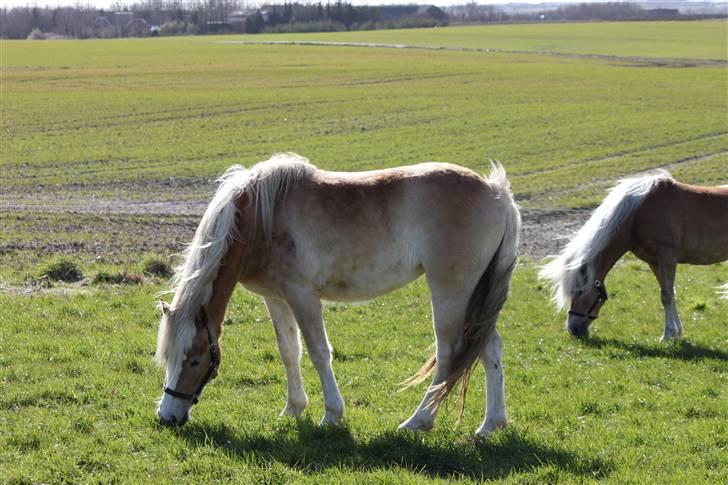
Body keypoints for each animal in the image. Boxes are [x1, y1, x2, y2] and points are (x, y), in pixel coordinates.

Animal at [154, 153, 520, 436]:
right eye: (168, 357)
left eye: (196, 359)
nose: (166, 417)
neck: (261, 218)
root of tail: (495, 192)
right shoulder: (276, 298)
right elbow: (289, 351)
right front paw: (293, 408)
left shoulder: (303, 296)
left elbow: (319, 352)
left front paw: (331, 414)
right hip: (475, 299)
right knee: (489, 349)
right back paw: (491, 425)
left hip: (451, 294)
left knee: (448, 355)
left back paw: (418, 421)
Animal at [536, 170, 728, 340]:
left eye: (579, 291)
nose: (573, 329)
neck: (638, 214)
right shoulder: (655, 261)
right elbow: (670, 294)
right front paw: (677, 333)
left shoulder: (667, 257)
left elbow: (666, 296)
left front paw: (667, 335)